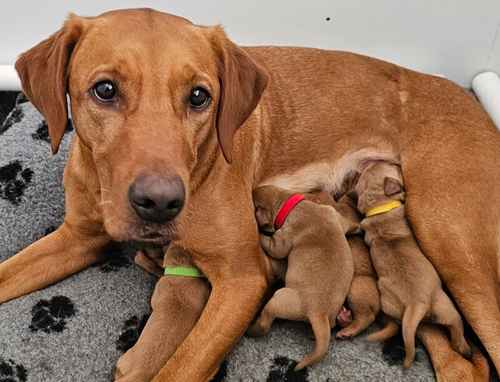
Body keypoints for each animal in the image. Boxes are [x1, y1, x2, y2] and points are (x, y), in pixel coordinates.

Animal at [248, 185, 354, 370]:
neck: (290, 203)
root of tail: (319, 313)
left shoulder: (283, 238)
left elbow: (273, 246)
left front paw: (259, 234)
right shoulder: (333, 214)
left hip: (279, 299)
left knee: (265, 322)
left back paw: (252, 330)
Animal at [354, 163, 470, 368]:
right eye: (393, 167)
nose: (397, 163)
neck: (379, 207)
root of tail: (416, 304)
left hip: (395, 307)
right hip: (448, 307)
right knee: (457, 329)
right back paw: (465, 349)